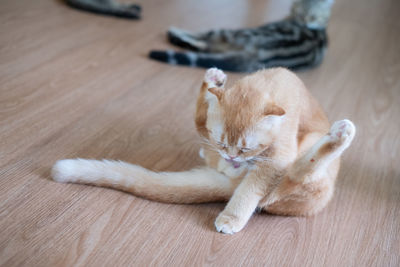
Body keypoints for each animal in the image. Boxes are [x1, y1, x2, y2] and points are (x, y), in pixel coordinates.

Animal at [51, 68, 354, 236]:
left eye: (246, 148)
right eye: (223, 143)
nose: (232, 157)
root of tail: (230, 181)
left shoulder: (275, 161)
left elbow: (250, 193)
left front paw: (232, 219)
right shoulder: (218, 142)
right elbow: (205, 124)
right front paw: (214, 86)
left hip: (304, 176)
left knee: (297, 175)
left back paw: (341, 135)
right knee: (200, 123)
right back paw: (210, 84)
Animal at [149, 0, 334, 72]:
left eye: (313, 17)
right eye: (302, 13)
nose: (305, 20)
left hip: (233, 33)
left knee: (207, 41)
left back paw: (176, 34)